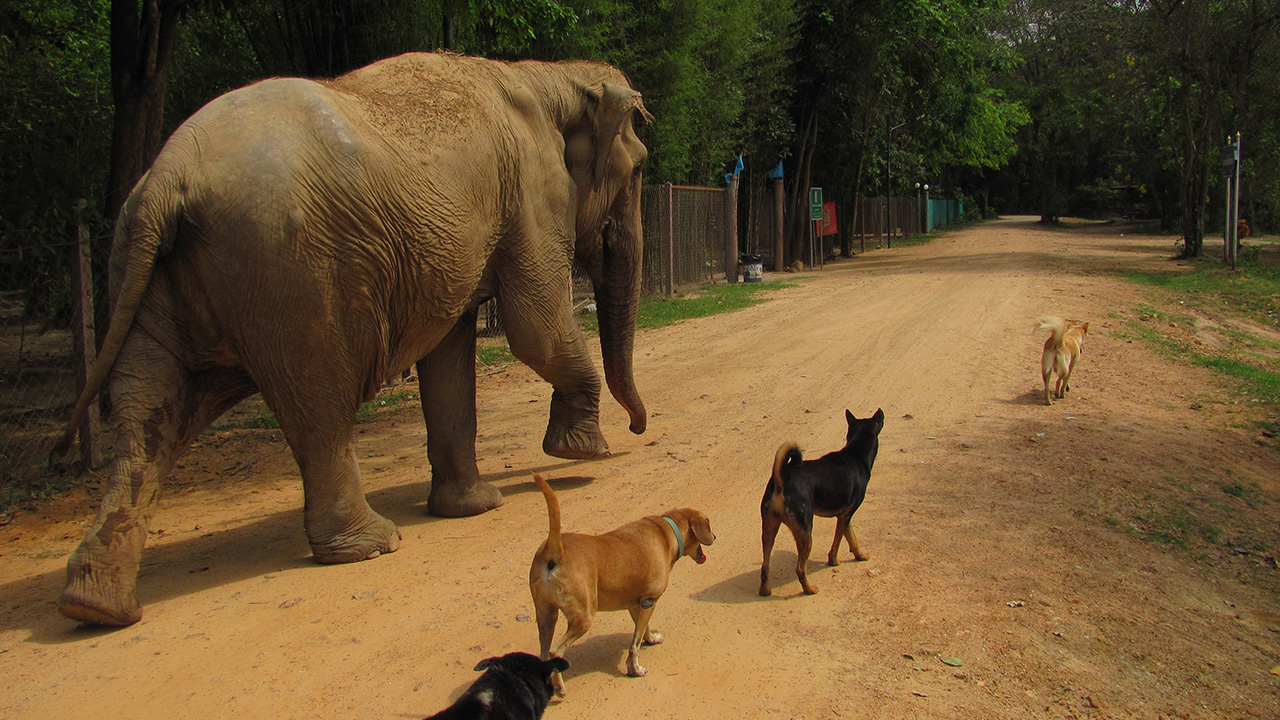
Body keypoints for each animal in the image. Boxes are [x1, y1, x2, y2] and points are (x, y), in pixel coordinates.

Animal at [48, 51, 650, 622]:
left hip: (152, 273)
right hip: (290, 276)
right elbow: (534, 327)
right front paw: (584, 453)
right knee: (318, 405)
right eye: (641, 168)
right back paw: (372, 545)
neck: (553, 75)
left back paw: (93, 605)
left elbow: (449, 353)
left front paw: (476, 506)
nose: (638, 429)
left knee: (148, 413)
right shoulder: (531, 192)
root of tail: (167, 176)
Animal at [524, 468, 716, 691]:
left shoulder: (637, 604)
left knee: (544, 653)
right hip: (583, 616)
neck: (667, 531)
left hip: (546, 616)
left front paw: (650, 639)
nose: (715, 537)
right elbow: (635, 643)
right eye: (709, 524)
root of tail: (555, 550)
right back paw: (560, 688)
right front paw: (635, 669)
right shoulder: (649, 601)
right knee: (555, 651)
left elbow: (642, 631)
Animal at [752, 409, 885, 594]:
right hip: (806, 533)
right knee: (800, 569)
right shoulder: (846, 516)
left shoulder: (845, 516)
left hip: (769, 530)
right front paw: (834, 561)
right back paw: (809, 589)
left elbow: (852, 537)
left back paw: (765, 591)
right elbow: (837, 543)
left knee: (765, 566)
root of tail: (781, 480)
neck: (856, 454)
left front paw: (860, 555)